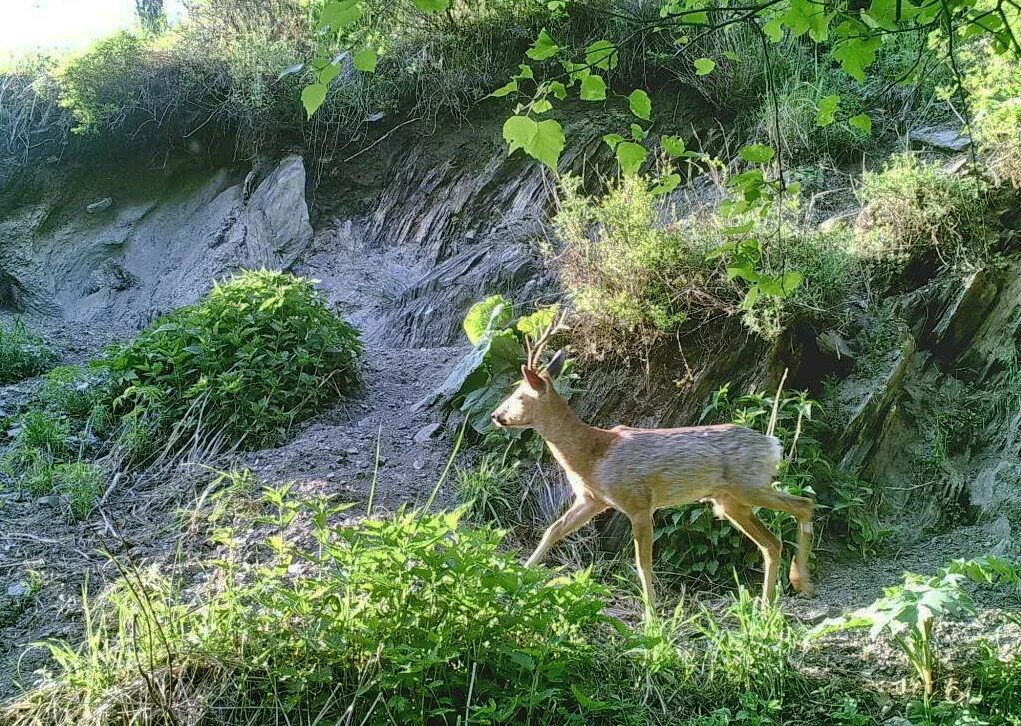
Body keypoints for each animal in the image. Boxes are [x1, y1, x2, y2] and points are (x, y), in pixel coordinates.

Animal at [490, 320, 816, 608]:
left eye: (519, 395)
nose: (496, 415)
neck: (591, 454)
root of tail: (773, 445)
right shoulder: (593, 499)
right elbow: (553, 530)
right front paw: (518, 577)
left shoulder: (638, 501)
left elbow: (642, 562)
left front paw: (652, 615)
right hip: (729, 501)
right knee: (772, 542)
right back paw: (767, 605)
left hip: (748, 485)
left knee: (804, 504)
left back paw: (801, 583)